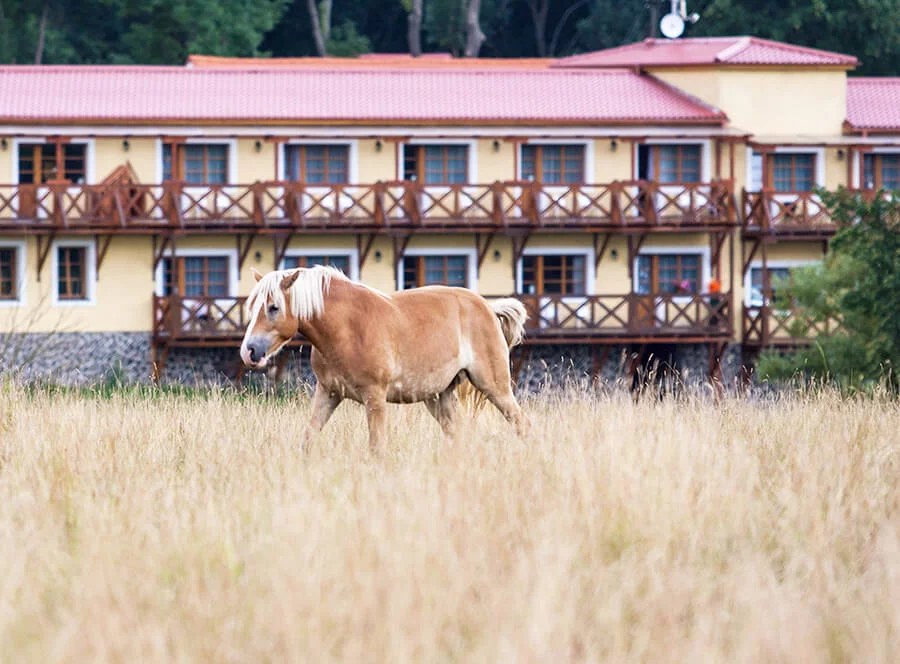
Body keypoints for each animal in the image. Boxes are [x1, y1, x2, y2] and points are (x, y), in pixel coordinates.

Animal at [243, 266, 532, 452]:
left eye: (274, 307)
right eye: (252, 307)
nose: (249, 351)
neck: (347, 327)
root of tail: (488, 308)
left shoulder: (375, 397)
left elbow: (377, 447)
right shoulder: (328, 393)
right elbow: (308, 438)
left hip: (494, 387)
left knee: (521, 422)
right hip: (439, 396)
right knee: (457, 434)